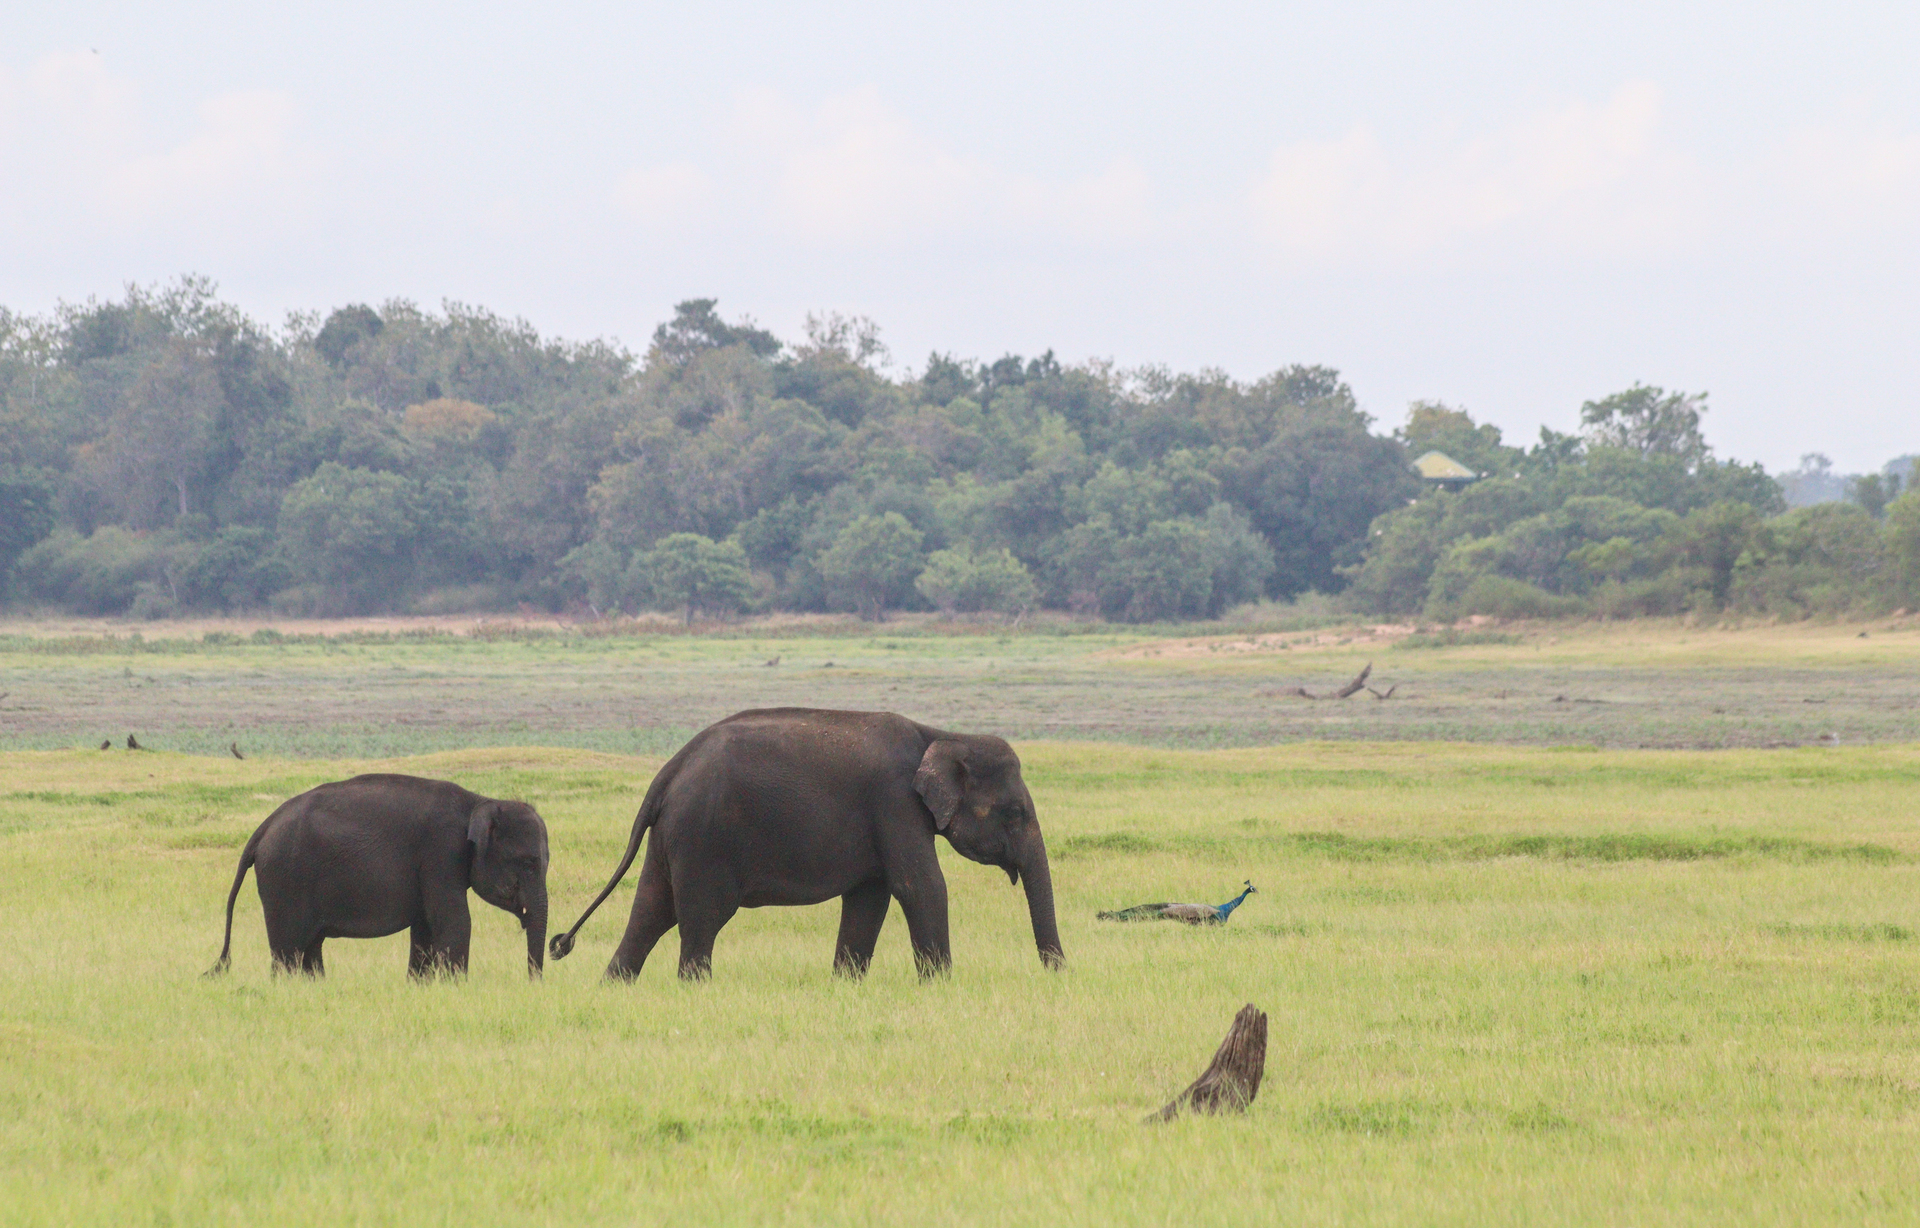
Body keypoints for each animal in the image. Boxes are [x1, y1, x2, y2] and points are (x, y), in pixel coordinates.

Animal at [205, 774, 550, 978]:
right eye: (529, 863)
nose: (533, 982)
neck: (479, 802)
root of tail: (262, 829)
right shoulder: (440, 853)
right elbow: (454, 921)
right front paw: (456, 986)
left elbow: (425, 927)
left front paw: (420, 986)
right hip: (284, 877)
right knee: (288, 950)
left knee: (310, 948)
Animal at [548, 708, 1064, 980]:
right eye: (1014, 813)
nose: (1055, 974)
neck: (940, 735)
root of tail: (669, 770)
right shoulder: (895, 805)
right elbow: (920, 887)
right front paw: (941, 987)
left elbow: (869, 900)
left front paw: (845, 987)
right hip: (703, 840)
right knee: (700, 919)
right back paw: (695, 990)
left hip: (671, 836)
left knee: (652, 910)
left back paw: (614, 989)